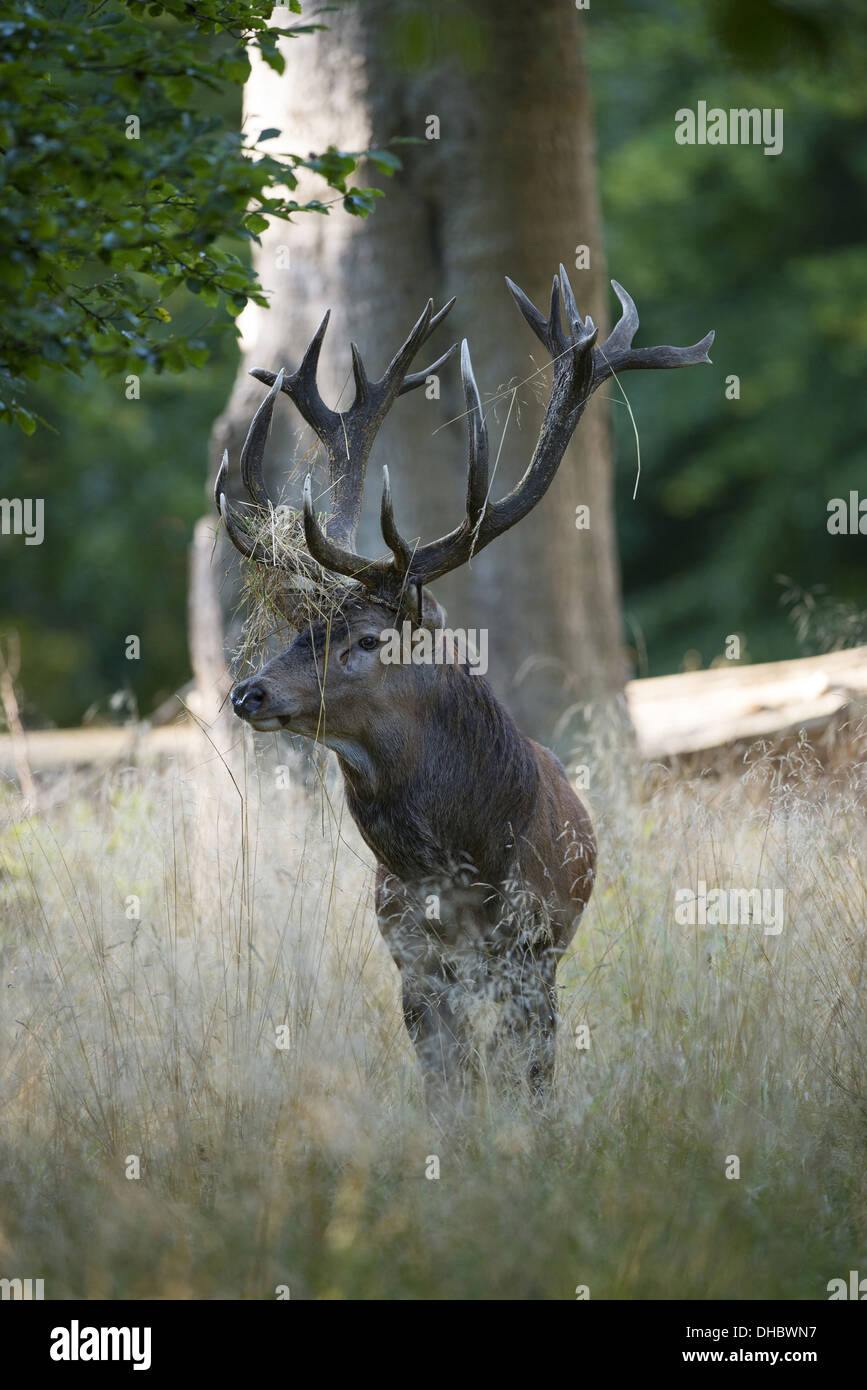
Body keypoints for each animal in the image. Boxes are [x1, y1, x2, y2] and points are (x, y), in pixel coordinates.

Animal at [217, 267, 713, 1106]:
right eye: (295, 631)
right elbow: (446, 1094)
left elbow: (530, 1084)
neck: (461, 863)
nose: (247, 693)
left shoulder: (533, 950)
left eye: (367, 638)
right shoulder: (411, 961)